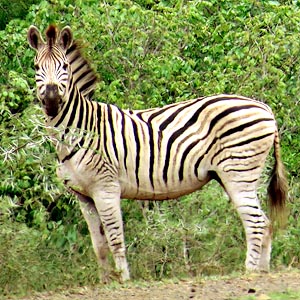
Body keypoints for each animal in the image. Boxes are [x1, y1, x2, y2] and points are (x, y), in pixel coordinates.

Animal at [28, 24, 288, 282]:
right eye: (37, 67)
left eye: (64, 66)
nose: (51, 99)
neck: (80, 128)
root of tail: (265, 108)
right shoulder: (83, 195)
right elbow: (98, 244)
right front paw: (104, 282)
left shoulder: (106, 188)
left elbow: (115, 238)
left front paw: (124, 280)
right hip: (234, 175)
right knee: (265, 223)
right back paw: (263, 271)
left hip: (238, 173)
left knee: (256, 223)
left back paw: (250, 272)